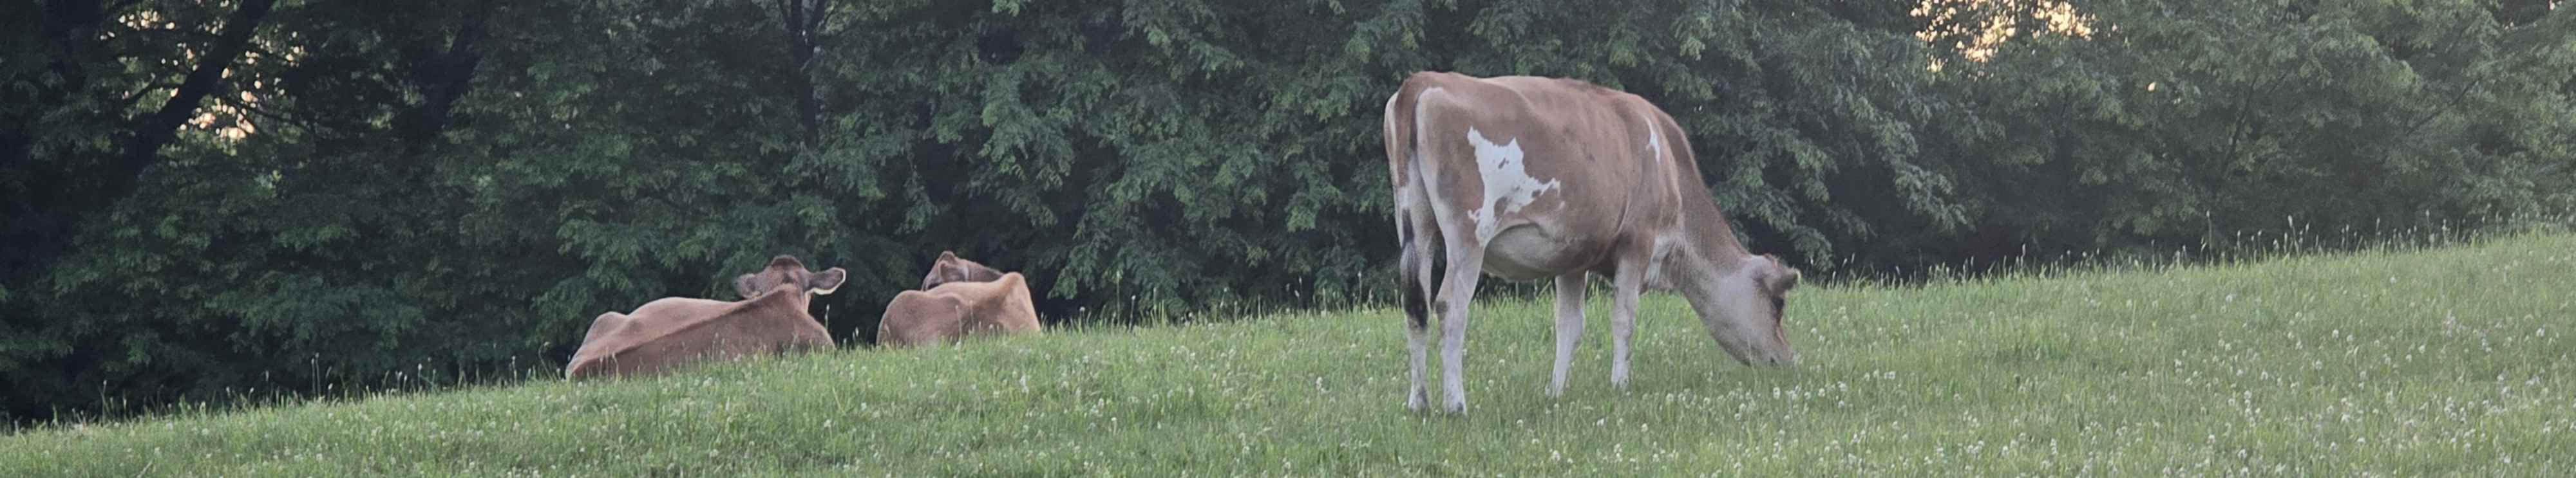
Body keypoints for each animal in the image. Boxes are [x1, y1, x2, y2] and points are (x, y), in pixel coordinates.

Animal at [1383, 71, 1803, 413]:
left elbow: (1569, 327)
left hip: (1416, 226)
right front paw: (1620, 385)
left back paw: (1419, 403)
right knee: (1449, 306)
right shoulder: (1637, 244)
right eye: (1778, 303)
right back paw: (1455, 404)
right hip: (1468, 234)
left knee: (1415, 306)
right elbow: (1624, 318)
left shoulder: (1572, 258)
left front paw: (1555, 393)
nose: (1788, 360)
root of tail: (1424, 81)